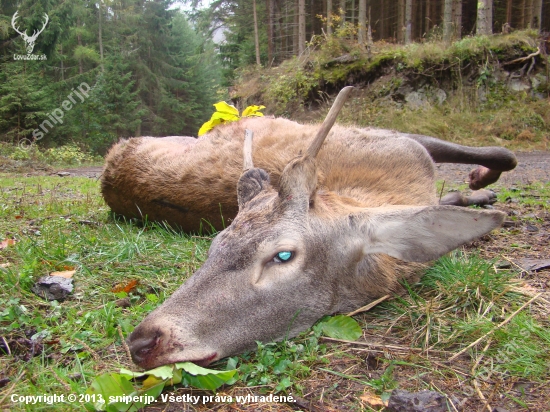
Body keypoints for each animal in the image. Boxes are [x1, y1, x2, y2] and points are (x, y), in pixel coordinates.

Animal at [102, 87, 516, 370]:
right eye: (215, 244)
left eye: (283, 255)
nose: (142, 342)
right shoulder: (391, 138)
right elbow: (503, 154)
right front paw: (480, 185)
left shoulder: (400, 141)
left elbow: (504, 154)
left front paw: (480, 185)